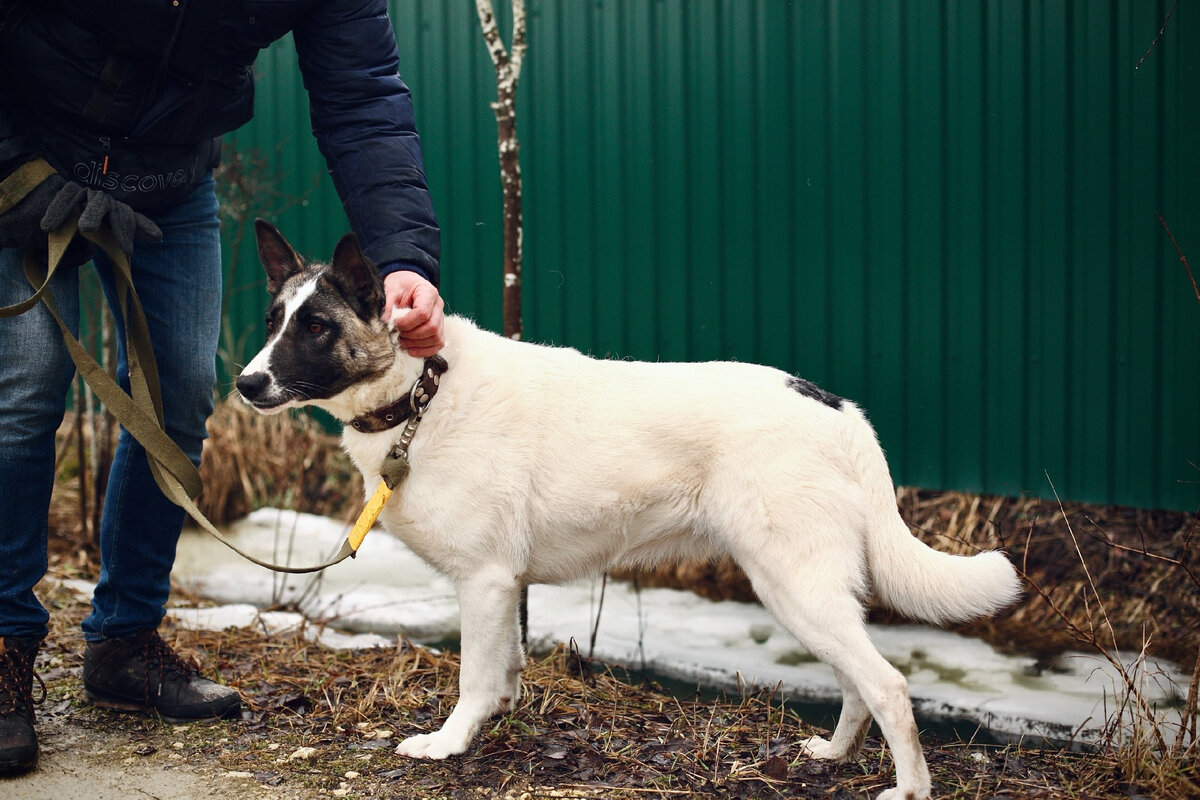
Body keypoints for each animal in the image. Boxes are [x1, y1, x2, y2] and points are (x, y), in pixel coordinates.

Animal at [236, 220, 1022, 800]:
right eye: (273, 321)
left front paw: (450, 743)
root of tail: (834, 406)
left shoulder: (484, 584)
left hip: (793, 586)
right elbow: (504, 671)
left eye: (316, 328)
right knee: (860, 683)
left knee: (888, 685)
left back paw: (909, 789)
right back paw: (832, 753)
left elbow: (473, 679)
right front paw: (499, 718)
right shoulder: (505, 589)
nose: (245, 384)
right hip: (805, 591)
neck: (420, 393)